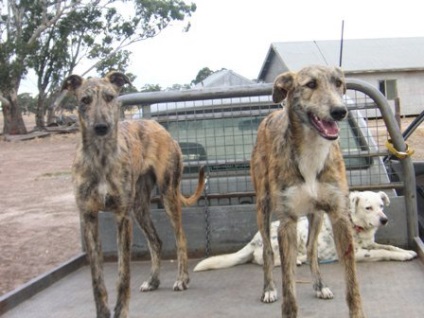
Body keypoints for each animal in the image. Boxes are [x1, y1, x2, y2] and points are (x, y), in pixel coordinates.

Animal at [62, 72, 205, 318]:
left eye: (110, 97)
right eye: (84, 100)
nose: (101, 127)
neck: (101, 157)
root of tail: (157, 126)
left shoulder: (122, 217)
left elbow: (123, 275)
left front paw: (121, 311)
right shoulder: (89, 217)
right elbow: (97, 280)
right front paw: (103, 312)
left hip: (168, 195)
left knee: (180, 237)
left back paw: (182, 279)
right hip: (139, 207)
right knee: (156, 241)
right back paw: (153, 280)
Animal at [195, 190, 418, 272]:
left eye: (381, 205)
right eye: (368, 208)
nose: (384, 220)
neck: (355, 224)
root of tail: (254, 240)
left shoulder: (369, 243)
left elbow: (389, 246)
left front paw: (407, 251)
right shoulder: (358, 253)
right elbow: (382, 252)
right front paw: (403, 256)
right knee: (264, 260)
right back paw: (298, 260)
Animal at [250, 65, 366, 318]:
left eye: (338, 83)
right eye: (310, 84)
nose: (339, 112)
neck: (313, 150)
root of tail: (270, 115)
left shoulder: (339, 216)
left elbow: (352, 285)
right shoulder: (287, 222)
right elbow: (289, 288)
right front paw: (285, 303)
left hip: (317, 215)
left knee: (312, 250)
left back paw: (320, 285)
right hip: (262, 207)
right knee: (267, 252)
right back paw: (268, 289)